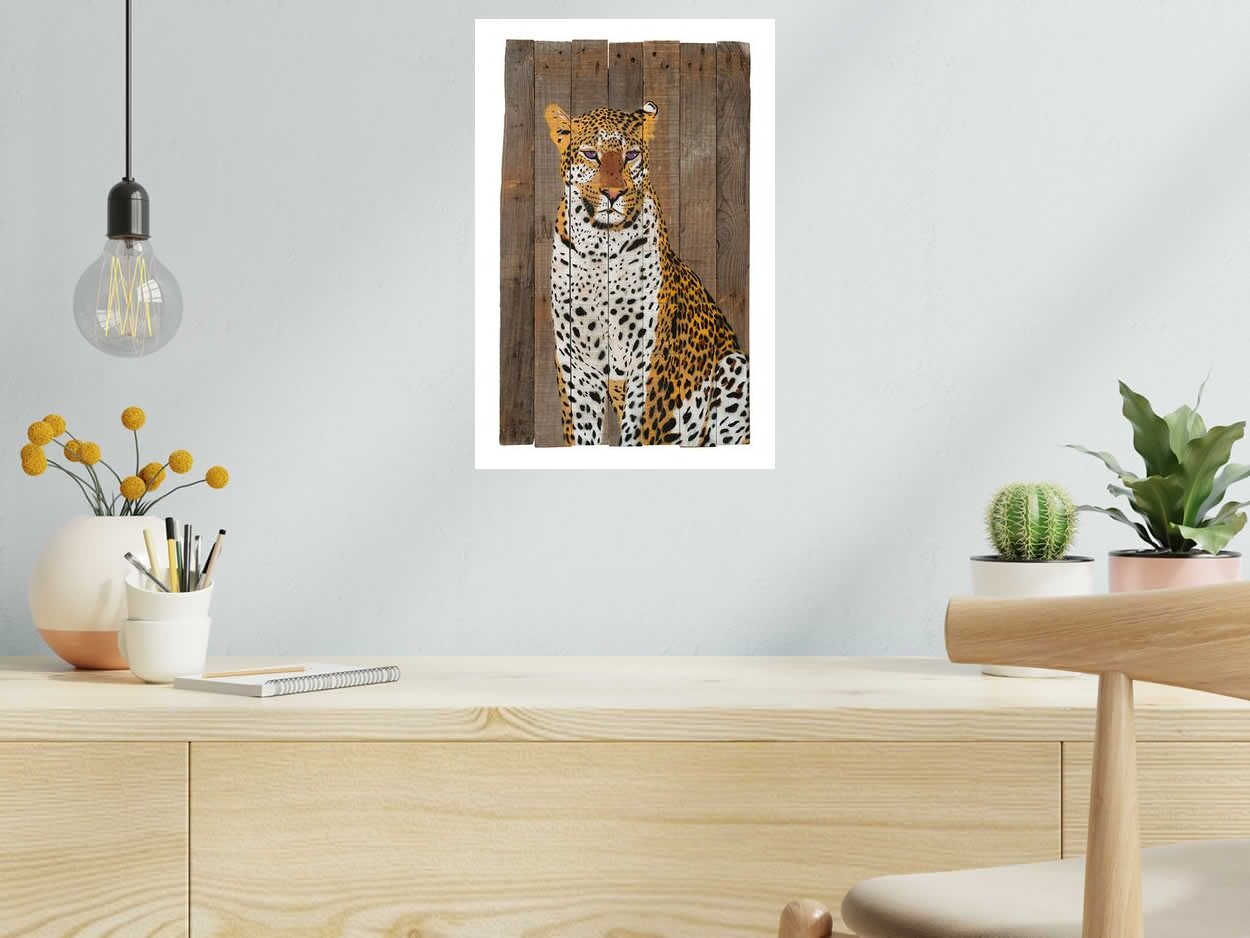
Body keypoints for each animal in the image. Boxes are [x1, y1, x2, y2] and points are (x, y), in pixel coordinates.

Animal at [543, 100, 749, 447]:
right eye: (591, 154)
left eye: (630, 155)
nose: (613, 193)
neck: (602, 247)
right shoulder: (578, 362)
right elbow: (583, 430)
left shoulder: (649, 355)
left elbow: (640, 430)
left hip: (735, 366)